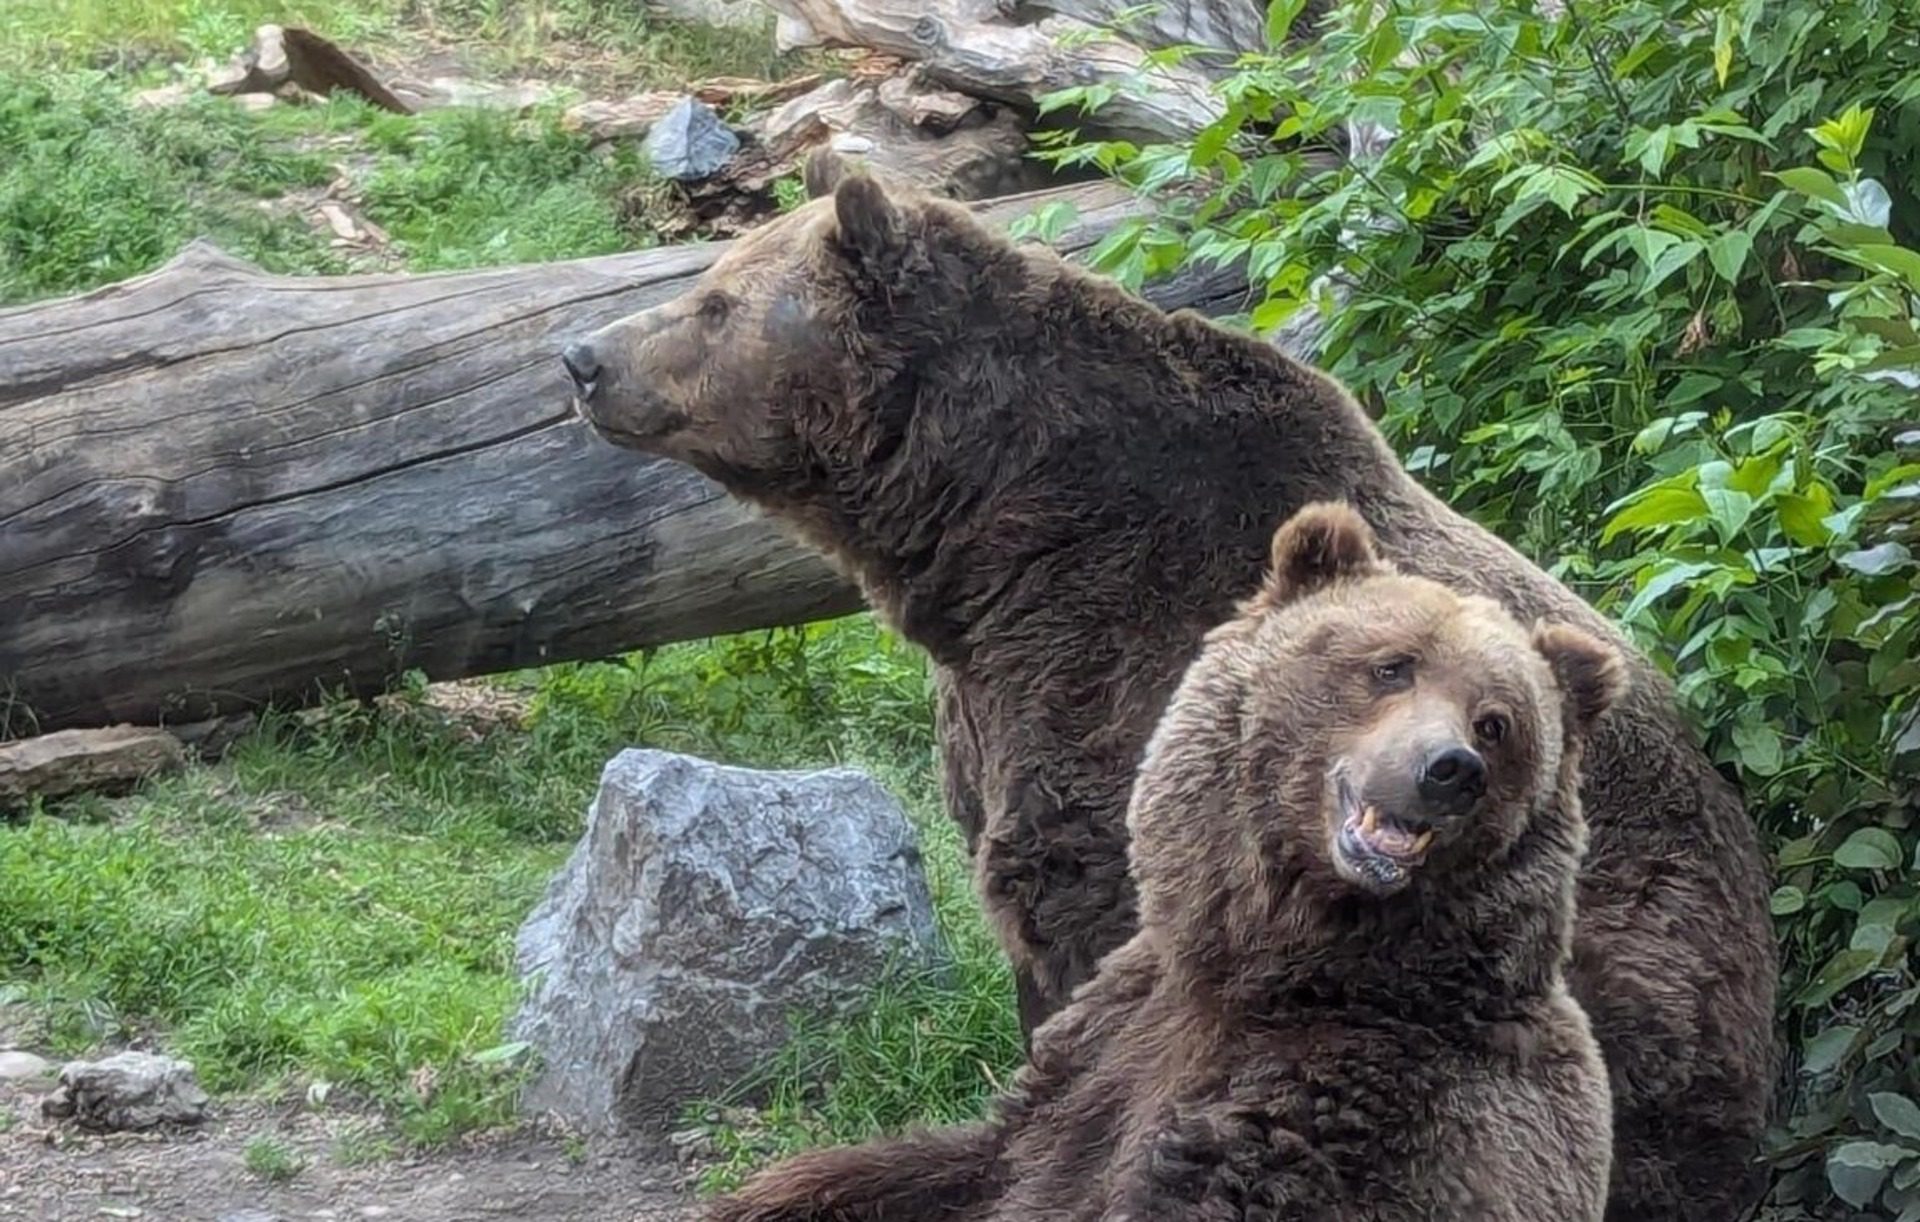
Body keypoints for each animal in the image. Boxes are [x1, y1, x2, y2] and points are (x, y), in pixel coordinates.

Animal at [705, 501, 1623, 1222]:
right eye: (1392, 664)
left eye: (1497, 722)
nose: (1449, 770)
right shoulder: (1100, 1050)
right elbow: (953, 1163)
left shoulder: (1359, 1107)